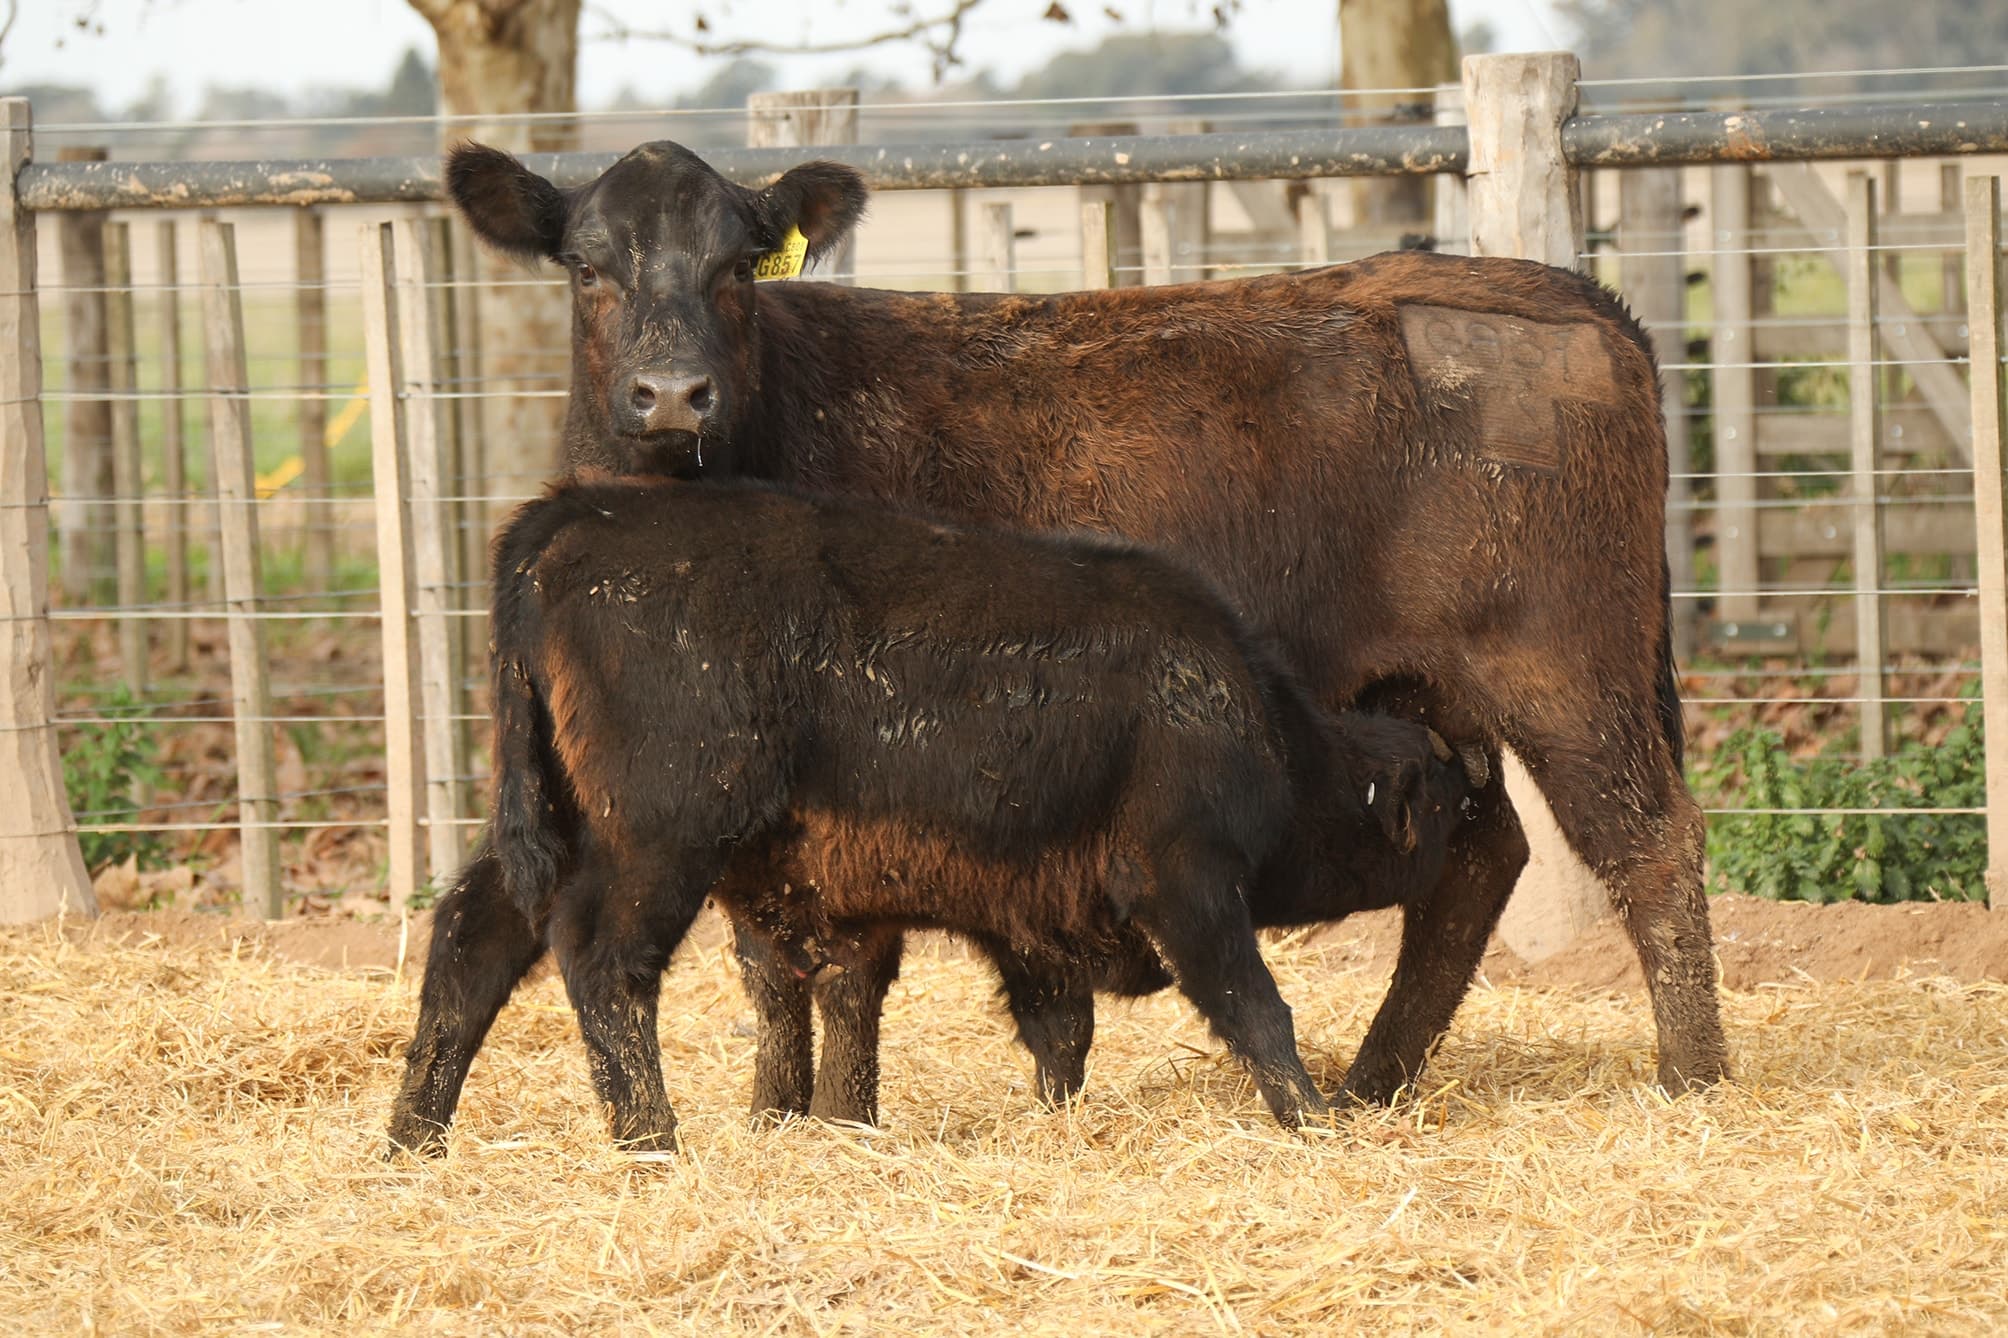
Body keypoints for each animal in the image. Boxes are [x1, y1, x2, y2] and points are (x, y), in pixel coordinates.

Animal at [385, 475, 1469, 1154]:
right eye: (1457, 794)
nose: (1474, 837)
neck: (1257, 717)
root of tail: (571, 518)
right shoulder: (1185, 882)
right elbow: (1254, 1007)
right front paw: (1315, 1122)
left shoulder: (1029, 919)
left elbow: (1059, 1036)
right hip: (655, 839)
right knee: (602, 958)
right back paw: (652, 1140)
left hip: (551, 829)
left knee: (473, 937)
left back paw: (414, 1140)